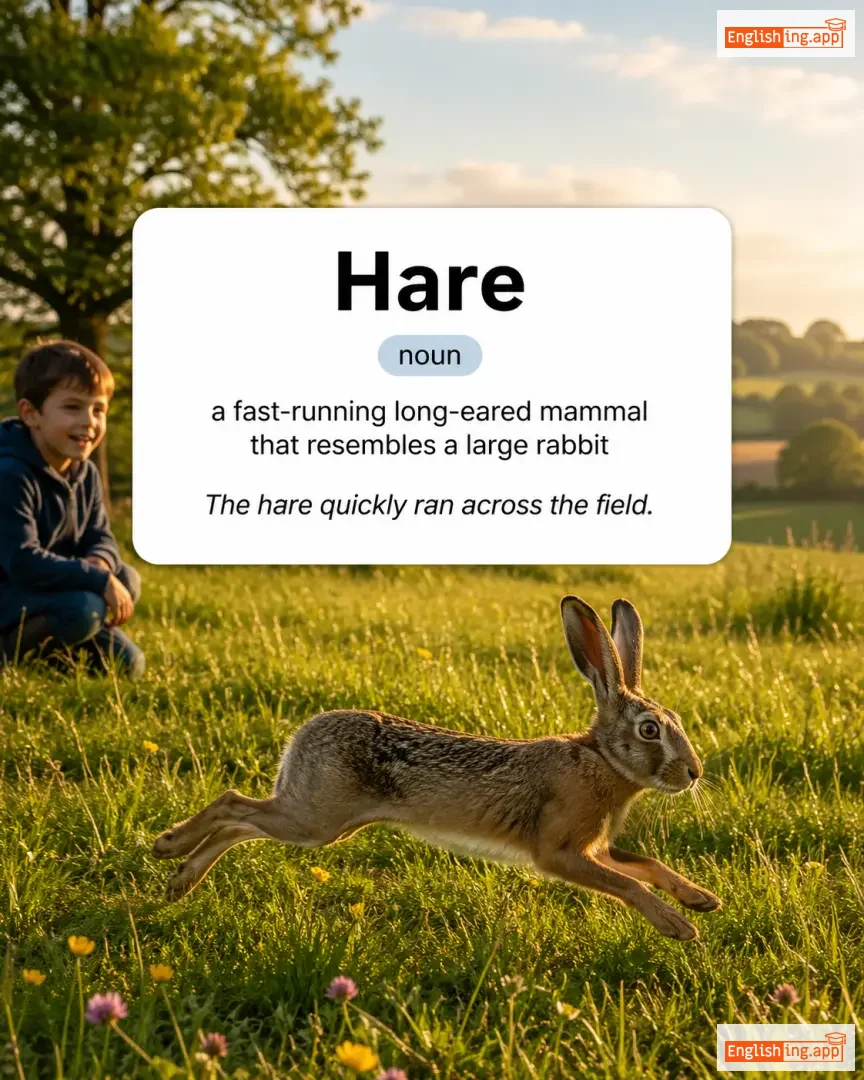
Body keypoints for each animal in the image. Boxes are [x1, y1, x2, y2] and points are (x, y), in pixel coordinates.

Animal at [152, 595, 720, 939]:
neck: (602, 759)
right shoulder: (559, 852)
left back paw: (180, 878)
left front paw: (701, 900)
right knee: (234, 806)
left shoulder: (596, 848)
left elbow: (647, 865)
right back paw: (171, 850)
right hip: (314, 821)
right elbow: (627, 885)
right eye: (650, 730)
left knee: (242, 820)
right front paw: (678, 926)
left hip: (320, 823)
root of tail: (304, 736)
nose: (693, 772)